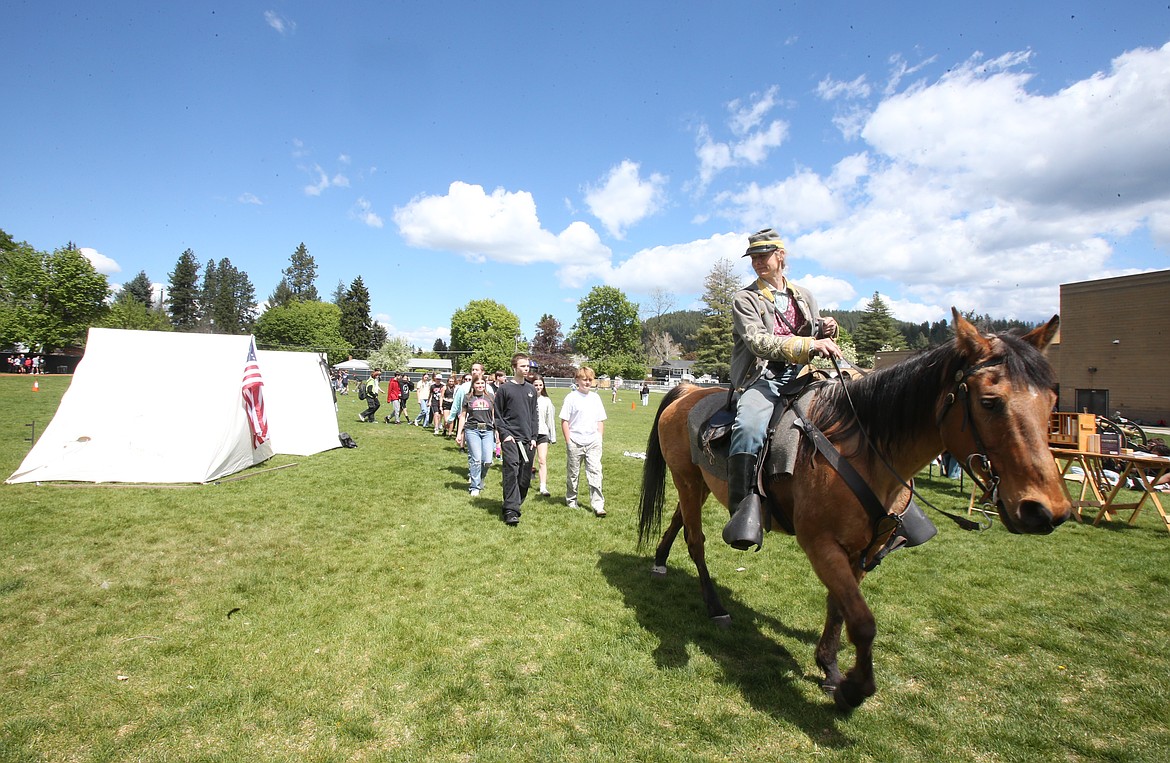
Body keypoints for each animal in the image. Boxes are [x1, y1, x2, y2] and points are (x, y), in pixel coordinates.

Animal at [636, 309, 1070, 710]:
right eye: (990, 402)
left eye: (1052, 401)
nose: (1045, 510)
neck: (863, 448)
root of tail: (685, 391)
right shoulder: (821, 545)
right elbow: (862, 622)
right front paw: (853, 688)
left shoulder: (864, 547)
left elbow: (840, 606)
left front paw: (828, 666)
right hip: (688, 480)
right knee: (696, 540)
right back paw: (715, 607)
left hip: (699, 486)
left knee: (678, 521)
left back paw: (659, 561)